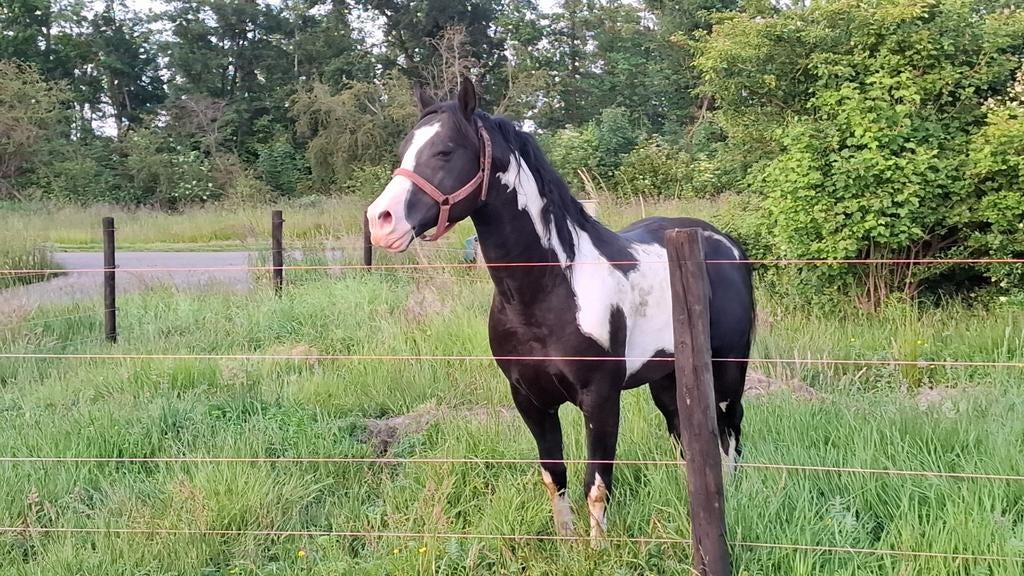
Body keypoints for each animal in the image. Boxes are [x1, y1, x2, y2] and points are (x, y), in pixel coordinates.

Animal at [366, 77, 756, 545]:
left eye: (444, 151)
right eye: (404, 148)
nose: (380, 220)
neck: (549, 289)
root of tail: (725, 244)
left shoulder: (600, 399)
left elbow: (597, 482)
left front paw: (597, 550)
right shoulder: (530, 399)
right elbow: (555, 475)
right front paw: (567, 543)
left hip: (729, 369)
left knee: (731, 429)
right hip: (667, 379)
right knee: (687, 436)